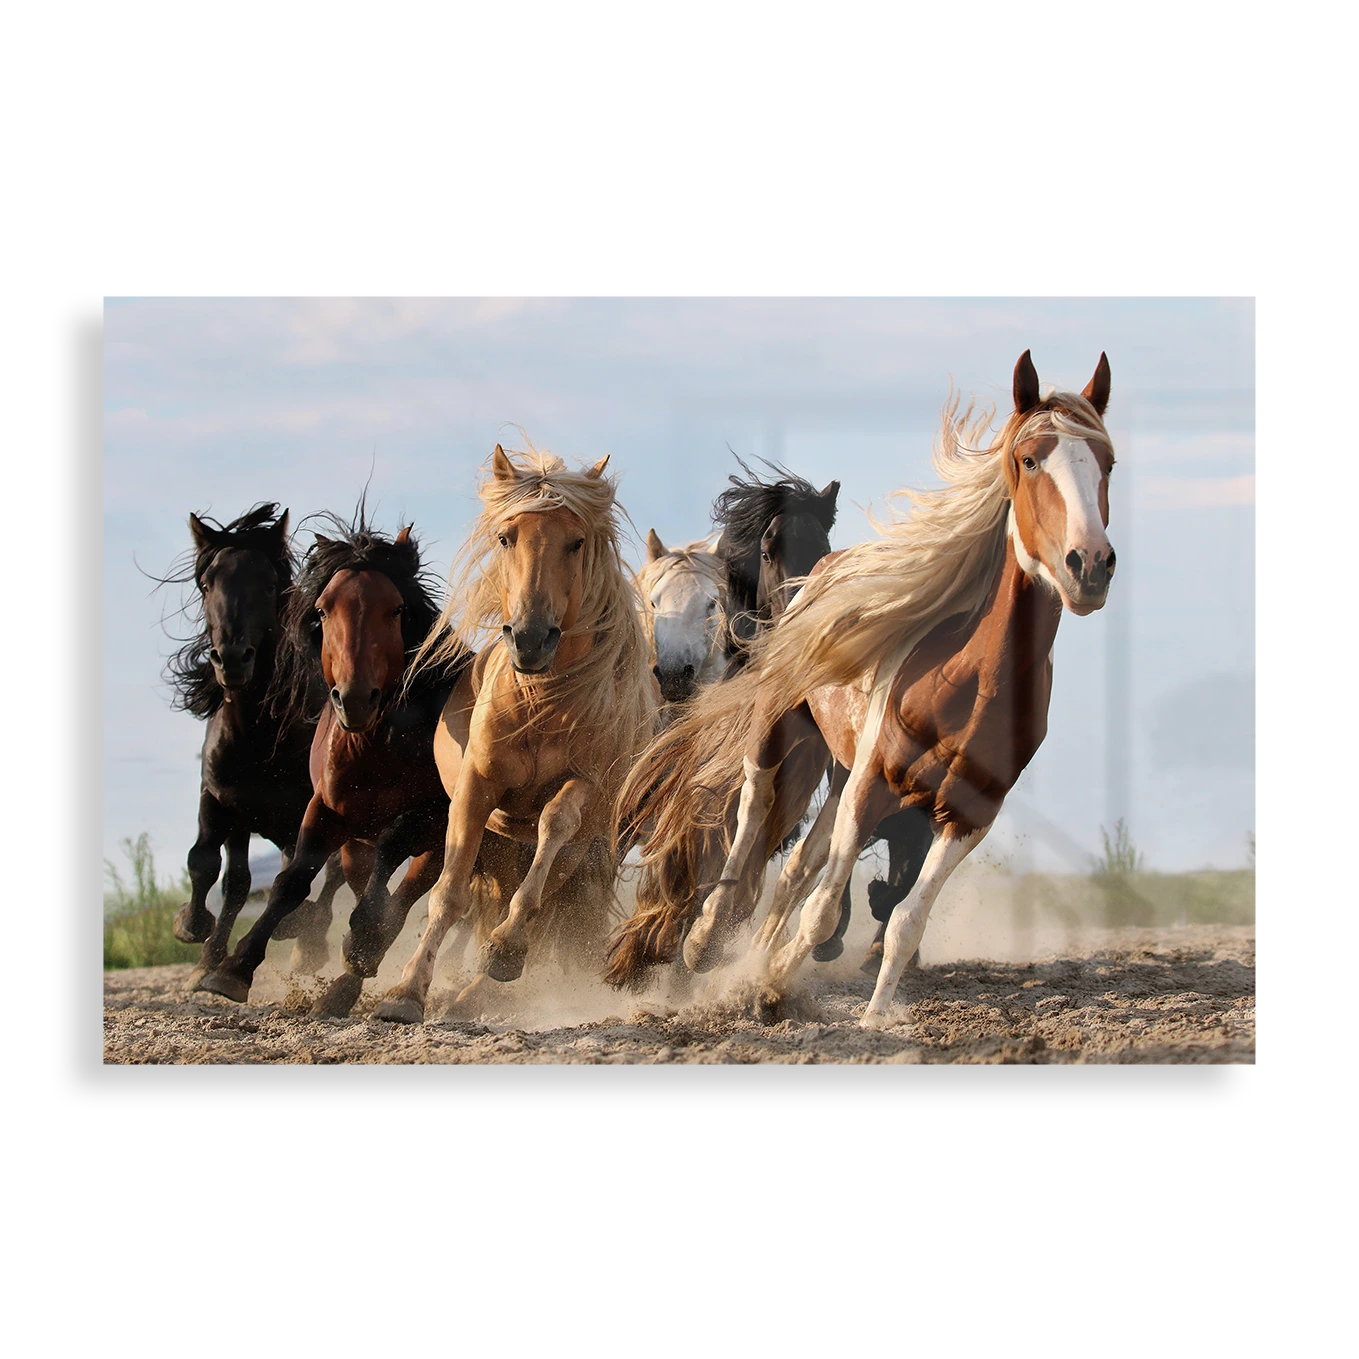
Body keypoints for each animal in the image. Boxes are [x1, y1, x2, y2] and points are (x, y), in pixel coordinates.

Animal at [160, 504, 342, 990]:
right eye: (207, 584)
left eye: (269, 584)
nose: (232, 659)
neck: (258, 737)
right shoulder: (224, 800)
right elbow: (213, 867)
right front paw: (197, 939)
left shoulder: (307, 811)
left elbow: (303, 874)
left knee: (332, 877)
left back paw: (307, 943)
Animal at [196, 508, 470, 1016]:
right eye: (323, 610)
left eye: (396, 609)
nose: (355, 699)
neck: (375, 747)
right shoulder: (325, 809)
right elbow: (292, 880)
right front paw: (233, 969)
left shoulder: (432, 816)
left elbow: (391, 859)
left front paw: (361, 942)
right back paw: (342, 982)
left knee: (404, 897)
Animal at [372, 444, 656, 1024]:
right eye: (507, 537)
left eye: (576, 541)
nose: (529, 639)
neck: (541, 704)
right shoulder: (477, 789)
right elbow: (449, 893)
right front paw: (406, 992)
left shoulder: (586, 786)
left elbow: (553, 827)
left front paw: (504, 949)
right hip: (504, 844)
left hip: (582, 846)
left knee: (544, 901)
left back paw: (484, 982)